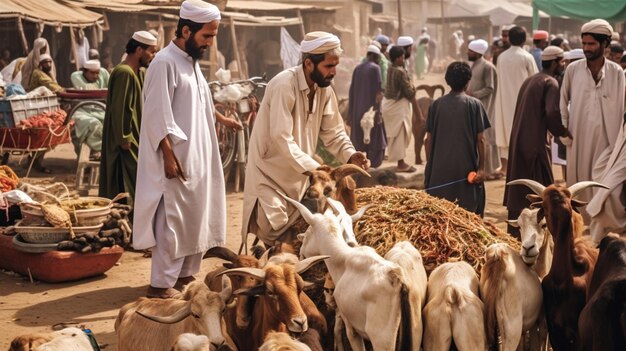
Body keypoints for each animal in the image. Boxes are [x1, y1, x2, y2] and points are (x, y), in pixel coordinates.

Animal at [282, 194, 414, 350]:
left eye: (308, 231)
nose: (300, 253)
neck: (343, 259)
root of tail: (395, 278)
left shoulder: (351, 327)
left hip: (382, 340)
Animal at [508, 180, 604, 350]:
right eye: (519, 226)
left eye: (543, 224)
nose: (528, 248)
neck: (562, 280)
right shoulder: (555, 330)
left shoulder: (577, 333)